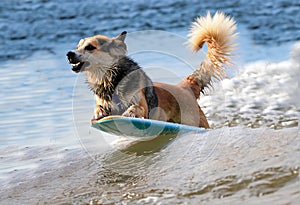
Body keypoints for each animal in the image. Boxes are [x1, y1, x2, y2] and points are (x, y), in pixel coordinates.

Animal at [67, 11, 238, 128]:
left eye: (90, 47)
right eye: (78, 46)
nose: (69, 54)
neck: (110, 80)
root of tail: (185, 87)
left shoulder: (142, 106)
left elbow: (136, 107)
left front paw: (129, 112)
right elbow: (99, 108)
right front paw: (98, 113)